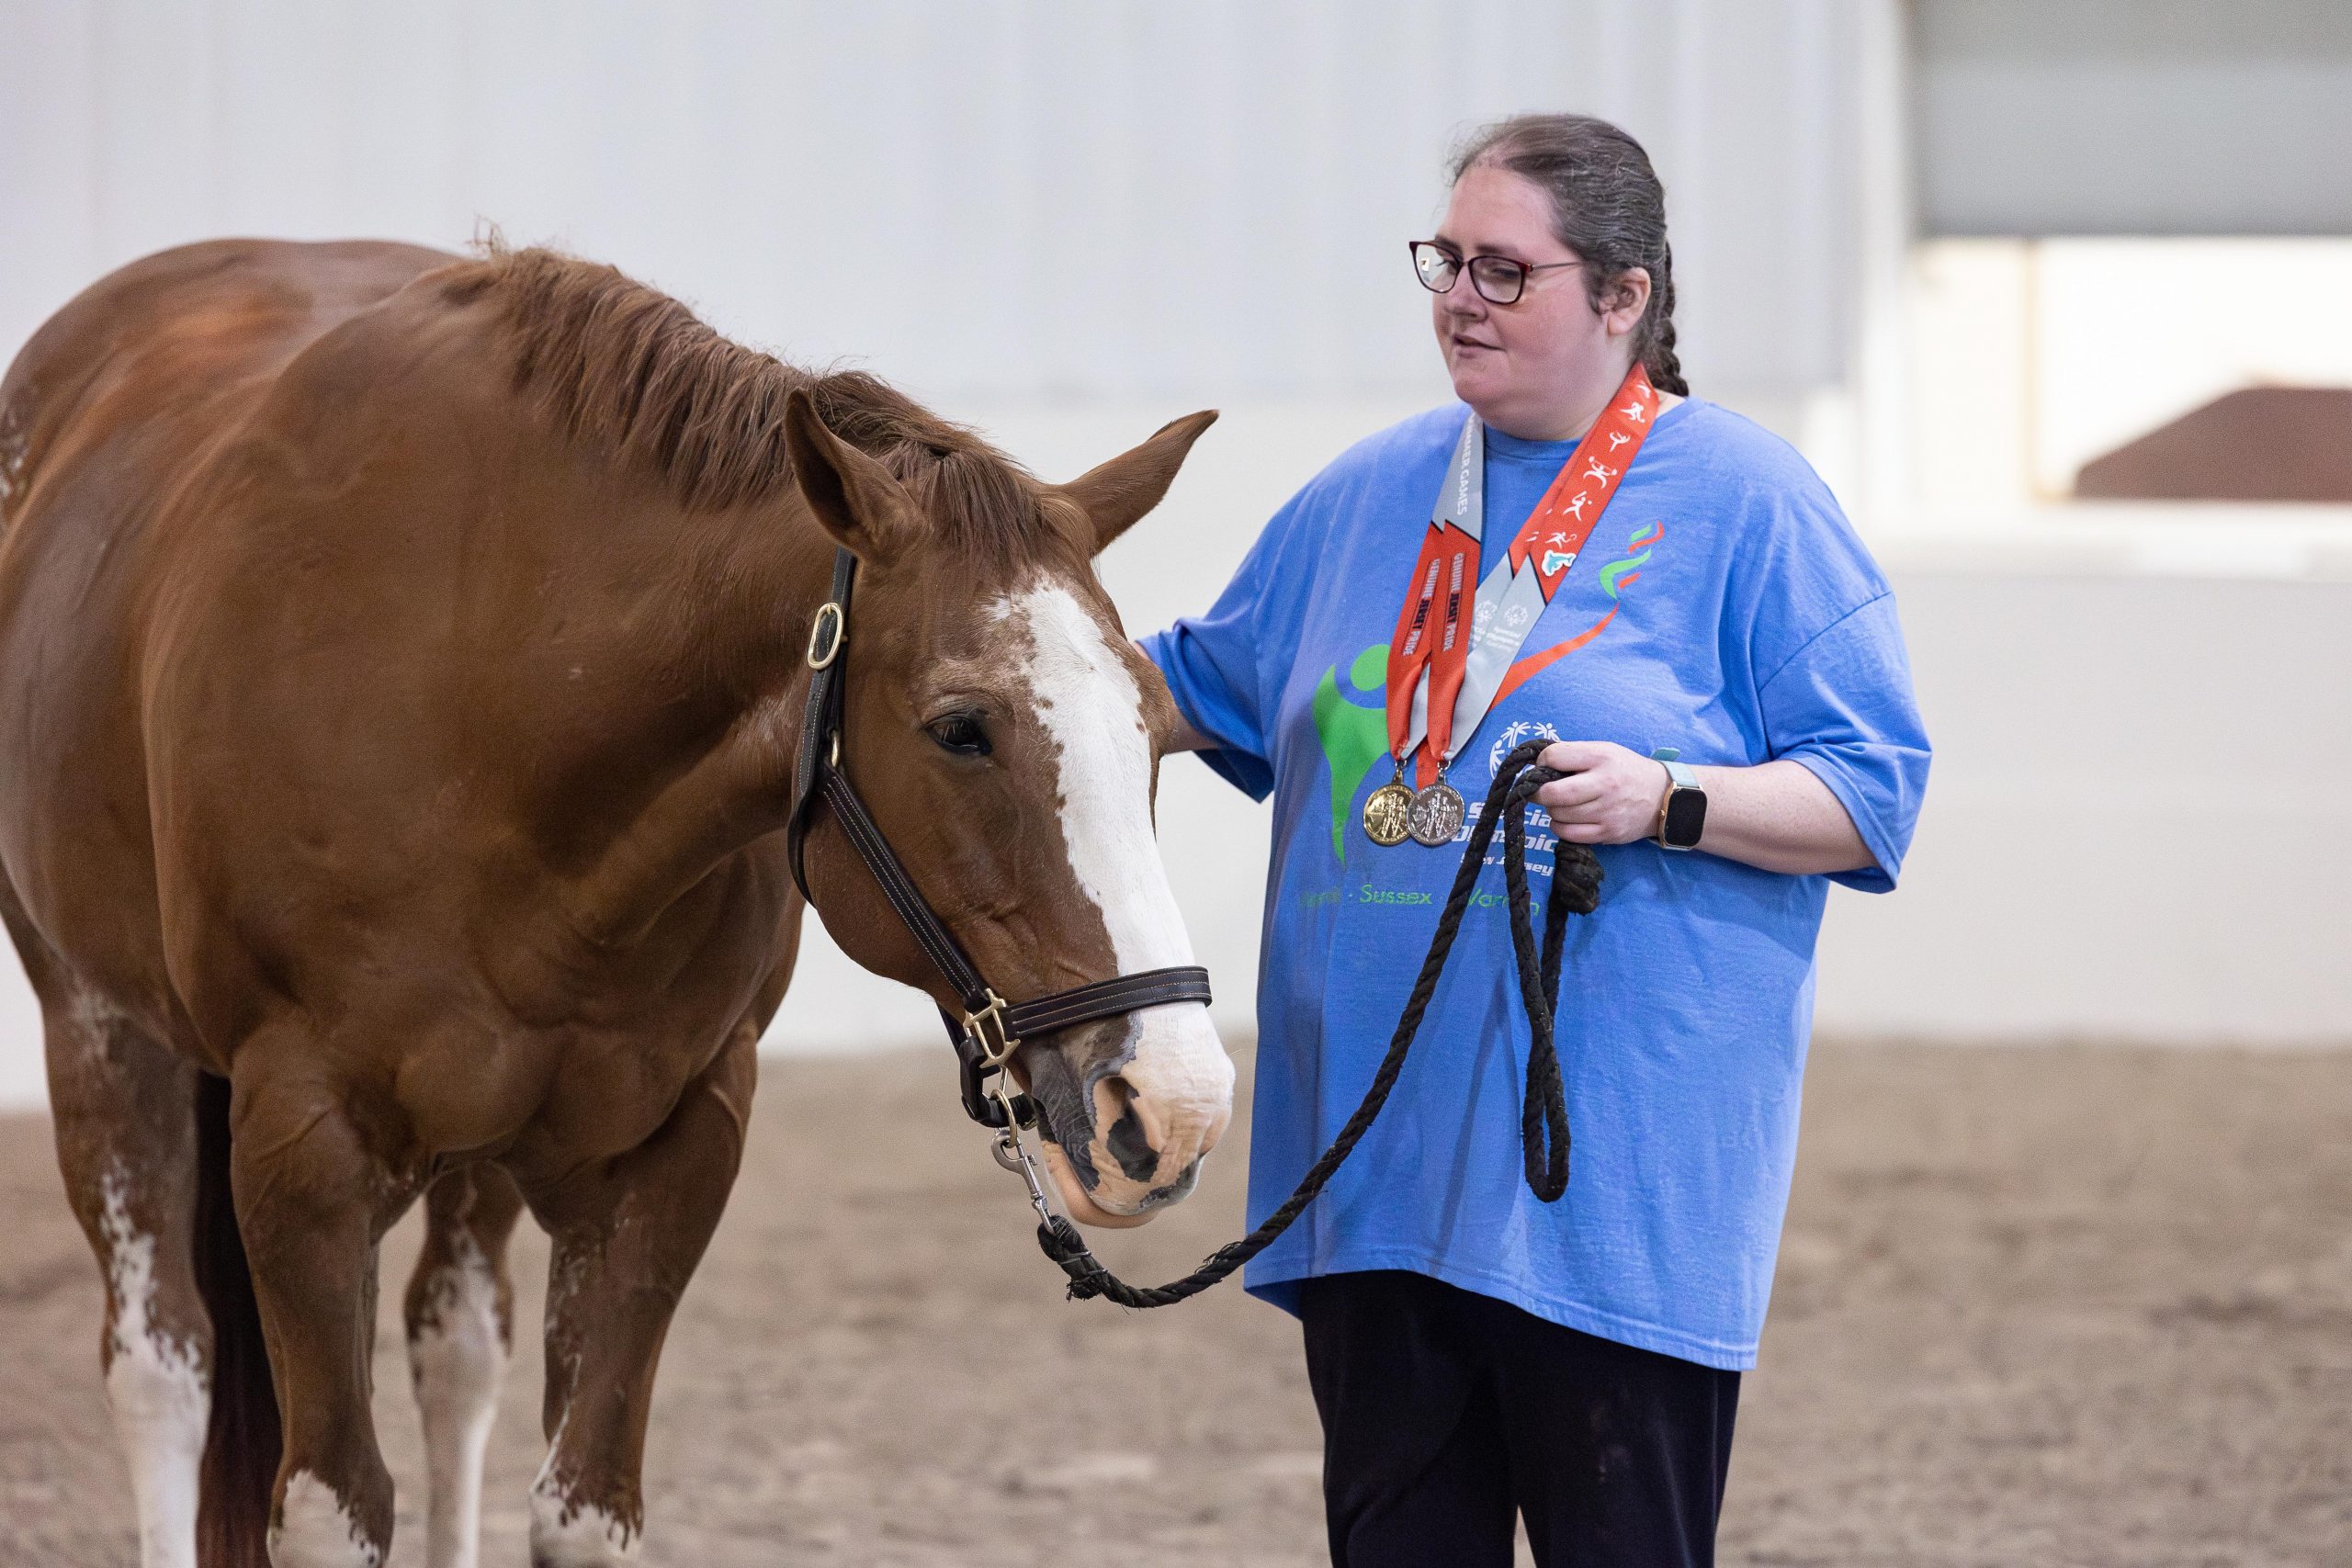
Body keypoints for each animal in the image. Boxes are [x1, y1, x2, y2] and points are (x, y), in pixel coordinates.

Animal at [0, 238, 1235, 1568]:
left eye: (1159, 722)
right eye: (961, 727)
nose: (1173, 1104)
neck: (495, 693)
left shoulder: (675, 1144)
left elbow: (581, 1504)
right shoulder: (302, 1153)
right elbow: (332, 1510)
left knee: (454, 1351)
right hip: (99, 1034)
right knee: (161, 1368)